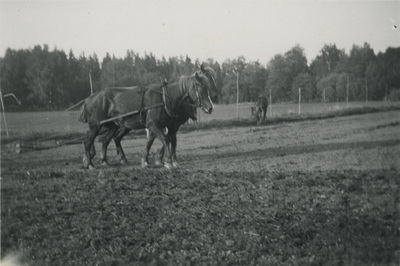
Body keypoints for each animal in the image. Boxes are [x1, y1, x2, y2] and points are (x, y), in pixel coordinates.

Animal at [79, 69, 214, 168]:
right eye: (200, 88)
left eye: (208, 87)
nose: (210, 107)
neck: (164, 98)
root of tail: (89, 99)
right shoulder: (153, 124)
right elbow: (165, 140)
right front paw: (167, 162)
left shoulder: (170, 126)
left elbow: (169, 141)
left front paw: (167, 161)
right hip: (97, 125)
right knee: (88, 141)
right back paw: (89, 163)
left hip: (113, 125)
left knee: (106, 140)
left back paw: (106, 161)